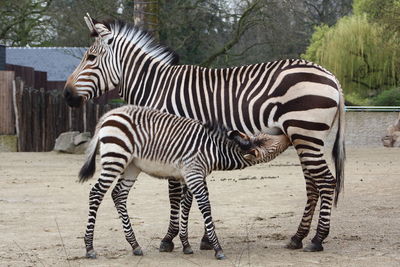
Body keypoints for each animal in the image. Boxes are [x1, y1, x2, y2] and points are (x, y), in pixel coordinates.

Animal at [79, 104, 290, 260]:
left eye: (266, 138)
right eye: (269, 144)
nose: (286, 133)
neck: (214, 150)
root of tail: (109, 114)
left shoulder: (191, 175)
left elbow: (187, 205)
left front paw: (186, 244)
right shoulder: (194, 174)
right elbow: (204, 206)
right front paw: (217, 248)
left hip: (132, 165)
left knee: (118, 194)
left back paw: (135, 245)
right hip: (116, 158)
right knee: (96, 193)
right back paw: (89, 247)